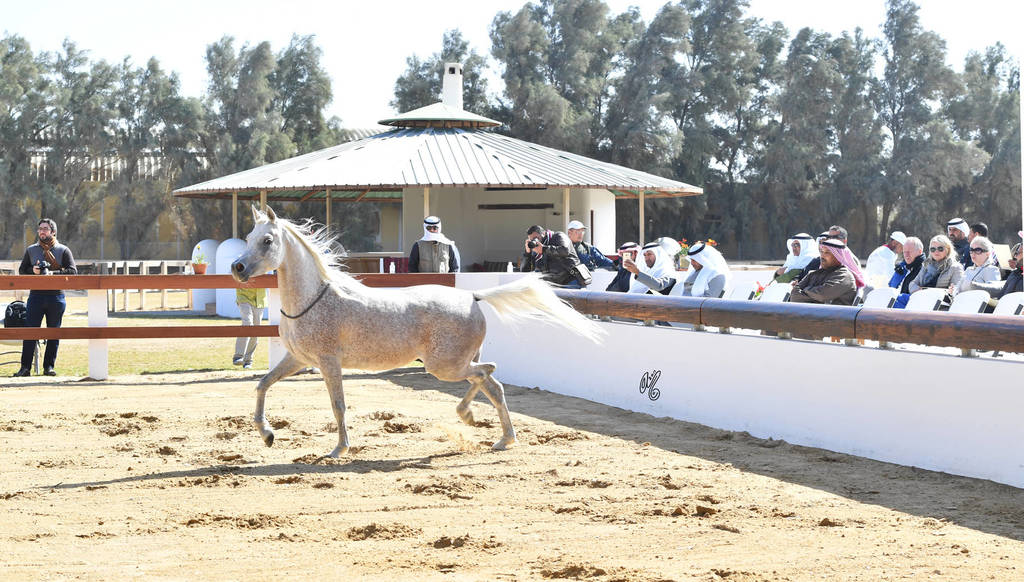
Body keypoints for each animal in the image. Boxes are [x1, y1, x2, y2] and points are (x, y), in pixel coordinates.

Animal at [230, 206, 603, 458]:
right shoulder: (298, 359)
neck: (312, 299)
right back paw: (501, 437)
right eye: (247, 238)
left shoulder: (328, 363)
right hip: (453, 364)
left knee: (488, 373)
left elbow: (338, 405)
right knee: (492, 384)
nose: (237, 267)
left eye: (267, 240)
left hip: (445, 366)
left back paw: (471, 418)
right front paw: (267, 434)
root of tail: (472, 297)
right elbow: (262, 385)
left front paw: (340, 449)